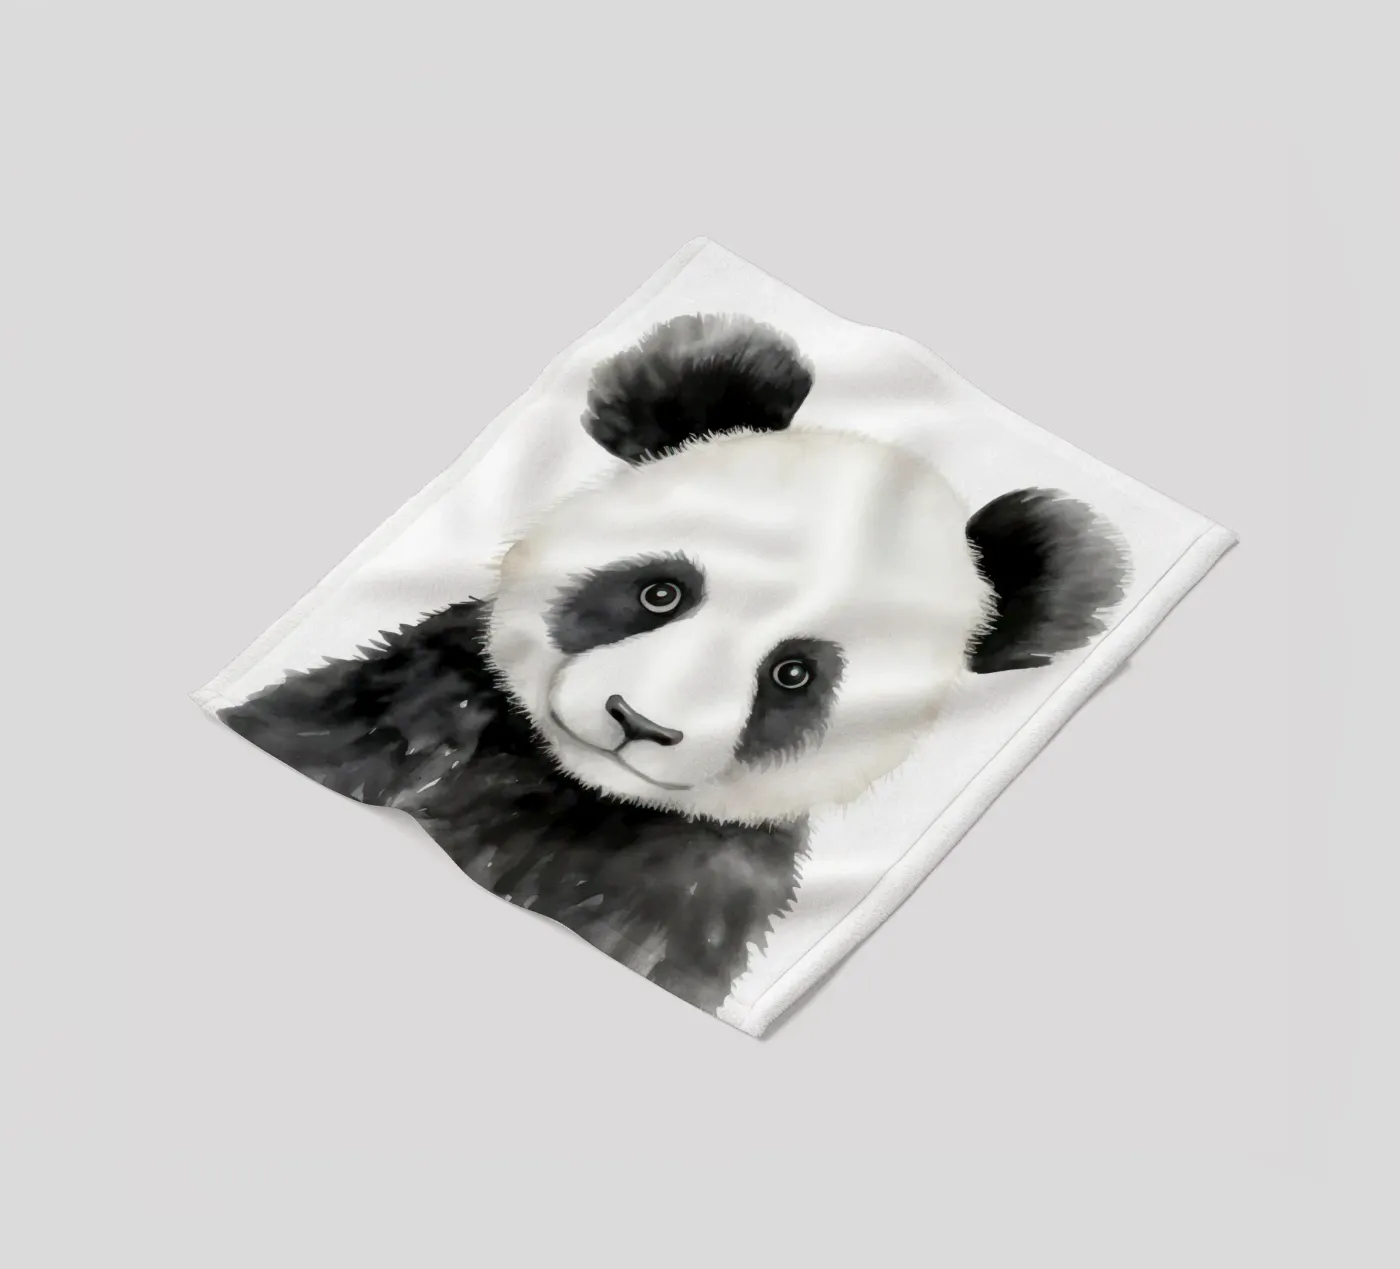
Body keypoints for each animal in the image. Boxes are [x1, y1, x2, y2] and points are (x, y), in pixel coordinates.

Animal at [220, 314, 1128, 1015]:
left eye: (793, 675)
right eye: (661, 591)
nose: (640, 723)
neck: (562, 788)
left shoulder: (689, 887)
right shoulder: (403, 703)